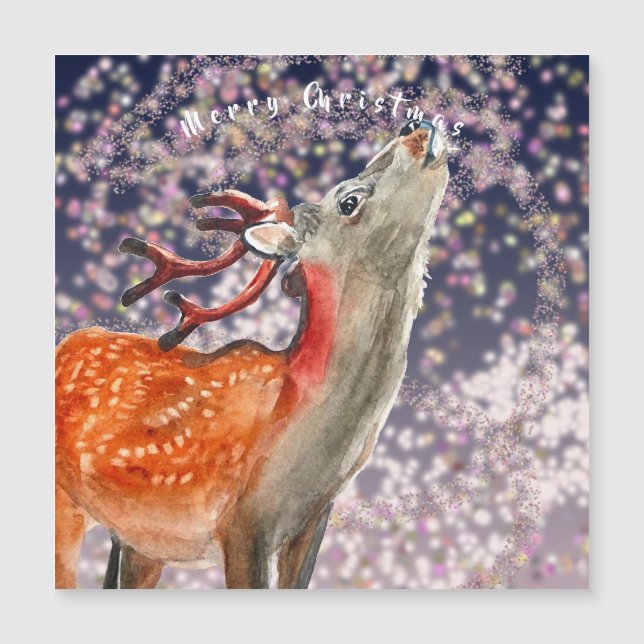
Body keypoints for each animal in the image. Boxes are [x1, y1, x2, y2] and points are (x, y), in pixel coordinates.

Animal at [55, 118, 449, 589]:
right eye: (349, 201)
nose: (415, 126)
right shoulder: (241, 524)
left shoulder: (313, 519)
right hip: (63, 507)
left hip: (139, 541)